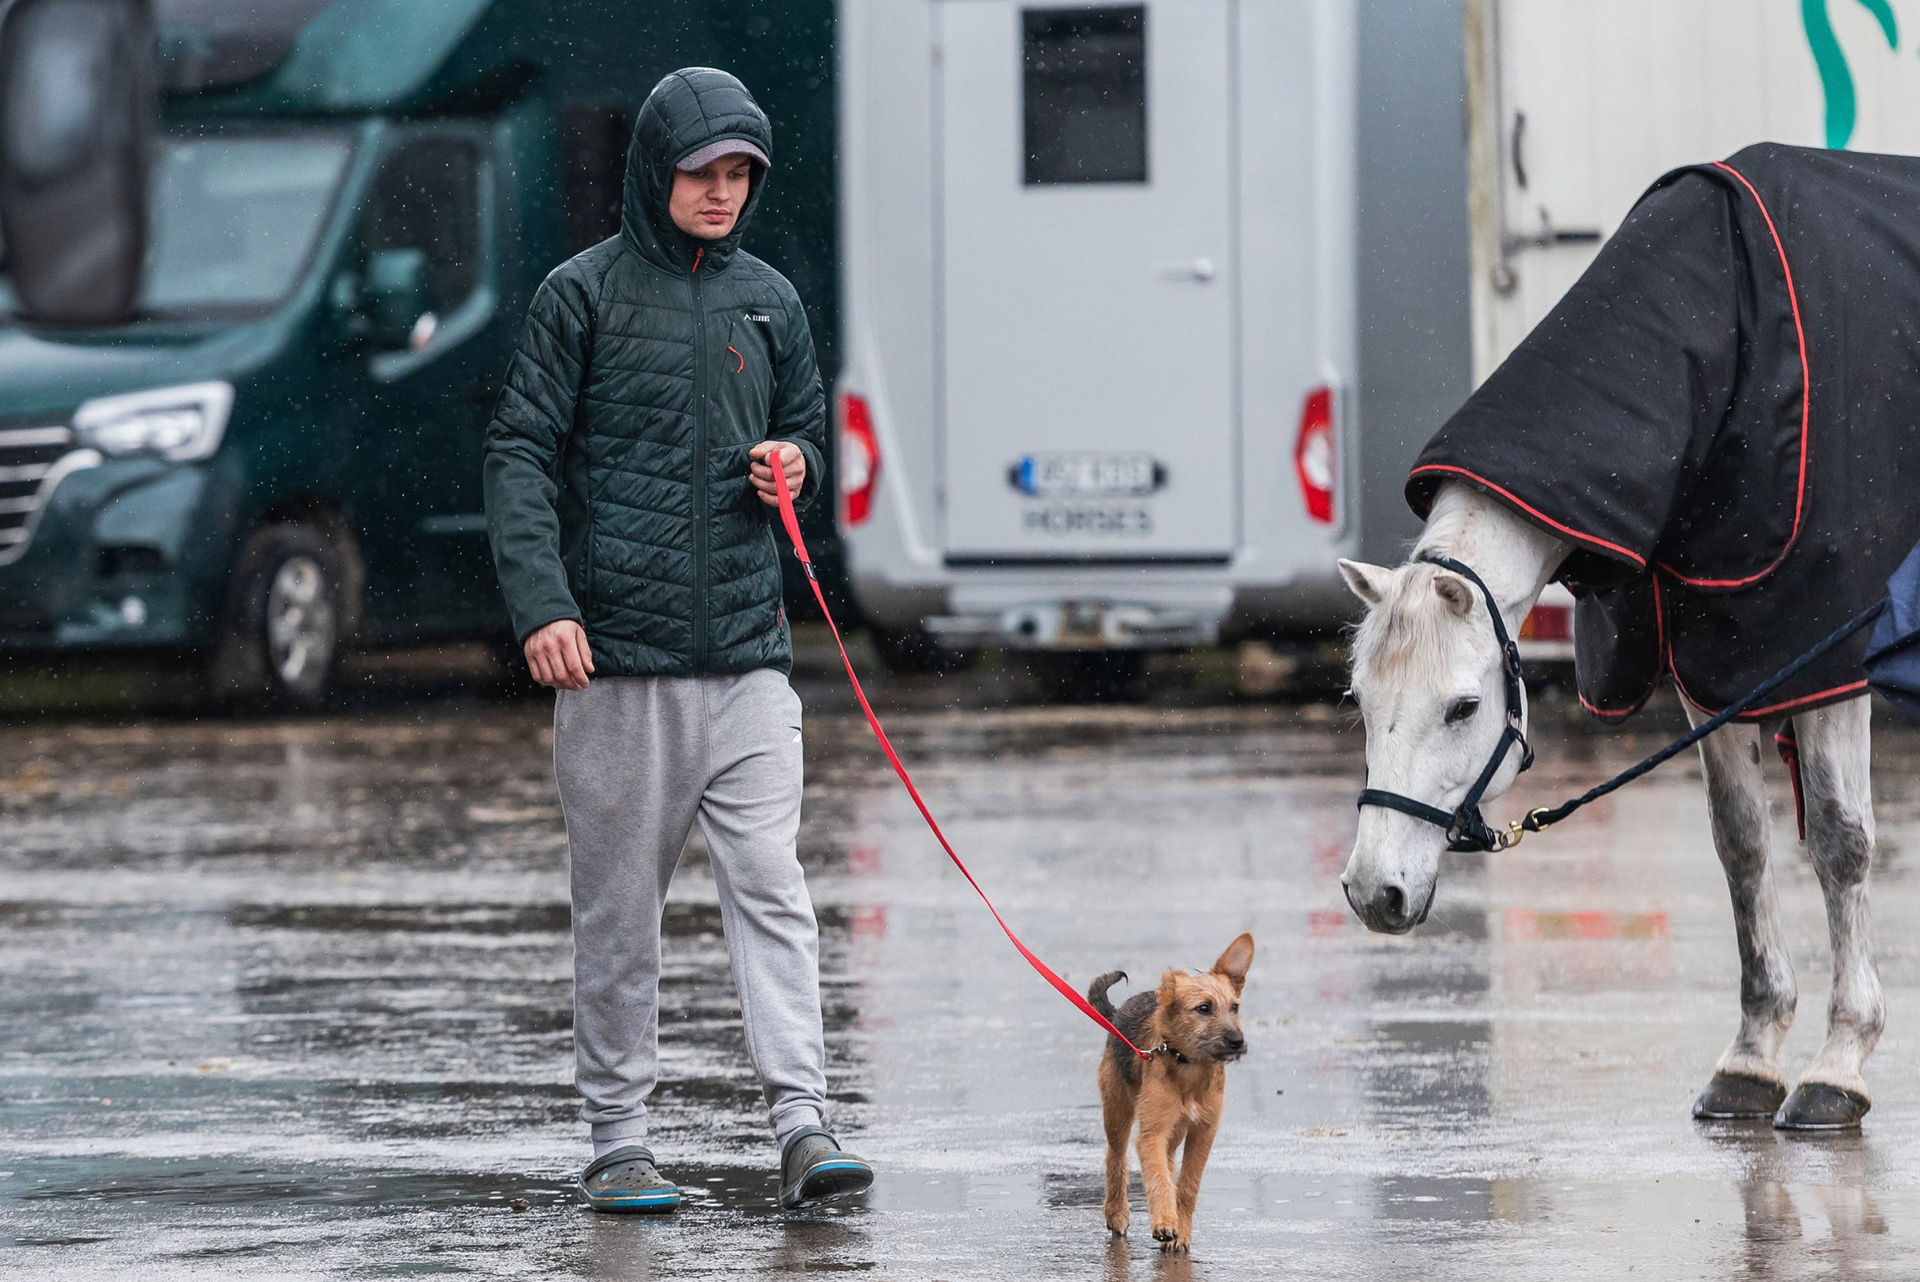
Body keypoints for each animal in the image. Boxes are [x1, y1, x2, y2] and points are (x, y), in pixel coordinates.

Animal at [1087, 932, 1254, 1253]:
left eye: (1235, 1007)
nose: (1237, 1042)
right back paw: (1116, 1213)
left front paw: (1180, 1231)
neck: (1189, 1066)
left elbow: (1187, 1185)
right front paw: (1165, 1223)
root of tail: (1117, 1016)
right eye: (1203, 1008)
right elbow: (1158, 1180)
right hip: (1117, 1111)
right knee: (1116, 1157)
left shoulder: (1203, 1131)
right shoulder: (1152, 1133)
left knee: (1167, 1161)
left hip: (1174, 1130)